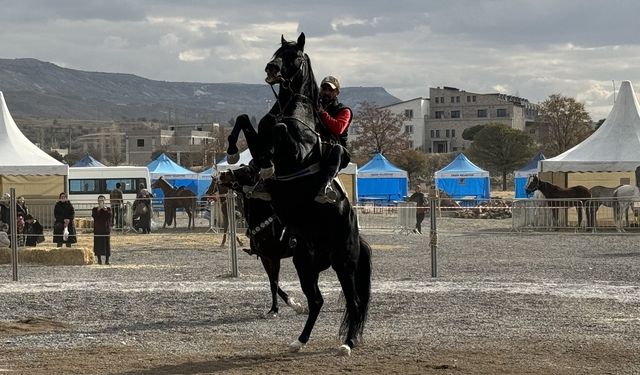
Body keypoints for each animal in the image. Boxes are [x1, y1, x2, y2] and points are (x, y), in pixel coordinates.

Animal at [206, 165, 304, 318]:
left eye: (246, 171)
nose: (221, 174)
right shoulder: (265, 258)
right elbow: (272, 283)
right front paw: (292, 305)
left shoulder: (274, 258)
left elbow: (274, 282)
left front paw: (277, 308)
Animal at [226, 33, 372, 356]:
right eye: (276, 51)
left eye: (294, 56)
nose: (271, 68)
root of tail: (357, 236)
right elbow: (245, 120)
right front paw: (232, 152)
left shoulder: (294, 150)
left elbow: (279, 128)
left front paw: (266, 164)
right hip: (306, 263)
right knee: (316, 301)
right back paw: (299, 341)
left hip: (343, 262)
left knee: (354, 302)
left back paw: (347, 344)